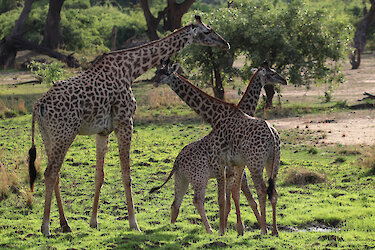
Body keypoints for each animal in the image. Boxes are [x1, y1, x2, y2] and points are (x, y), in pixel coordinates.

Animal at [27, 15, 229, 236]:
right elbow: (127, 175)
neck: (131, 70)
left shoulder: (103, 131)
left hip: (48, 136)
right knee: (50, 173)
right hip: (64, 134)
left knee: (55, 175)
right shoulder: (125, 122)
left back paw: (65, 225)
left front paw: (94, 222)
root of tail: (38, 105)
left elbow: (99, 175)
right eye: (208, 30)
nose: (225, 43)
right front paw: (134, 224)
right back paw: (46, 228)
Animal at [151, 61, 286, 235]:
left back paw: (264, 229)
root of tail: (272, 135)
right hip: (272, 163)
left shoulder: (230, 164)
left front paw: (233, 228)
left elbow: (233, 196)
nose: (284, 80)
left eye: (166, 73)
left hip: (255, 163)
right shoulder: (233, 165)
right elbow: (234, 196)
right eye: (157, 72)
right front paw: (235, 228)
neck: (216, 115)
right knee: (271, 191)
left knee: (262, 190)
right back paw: (272, 230)